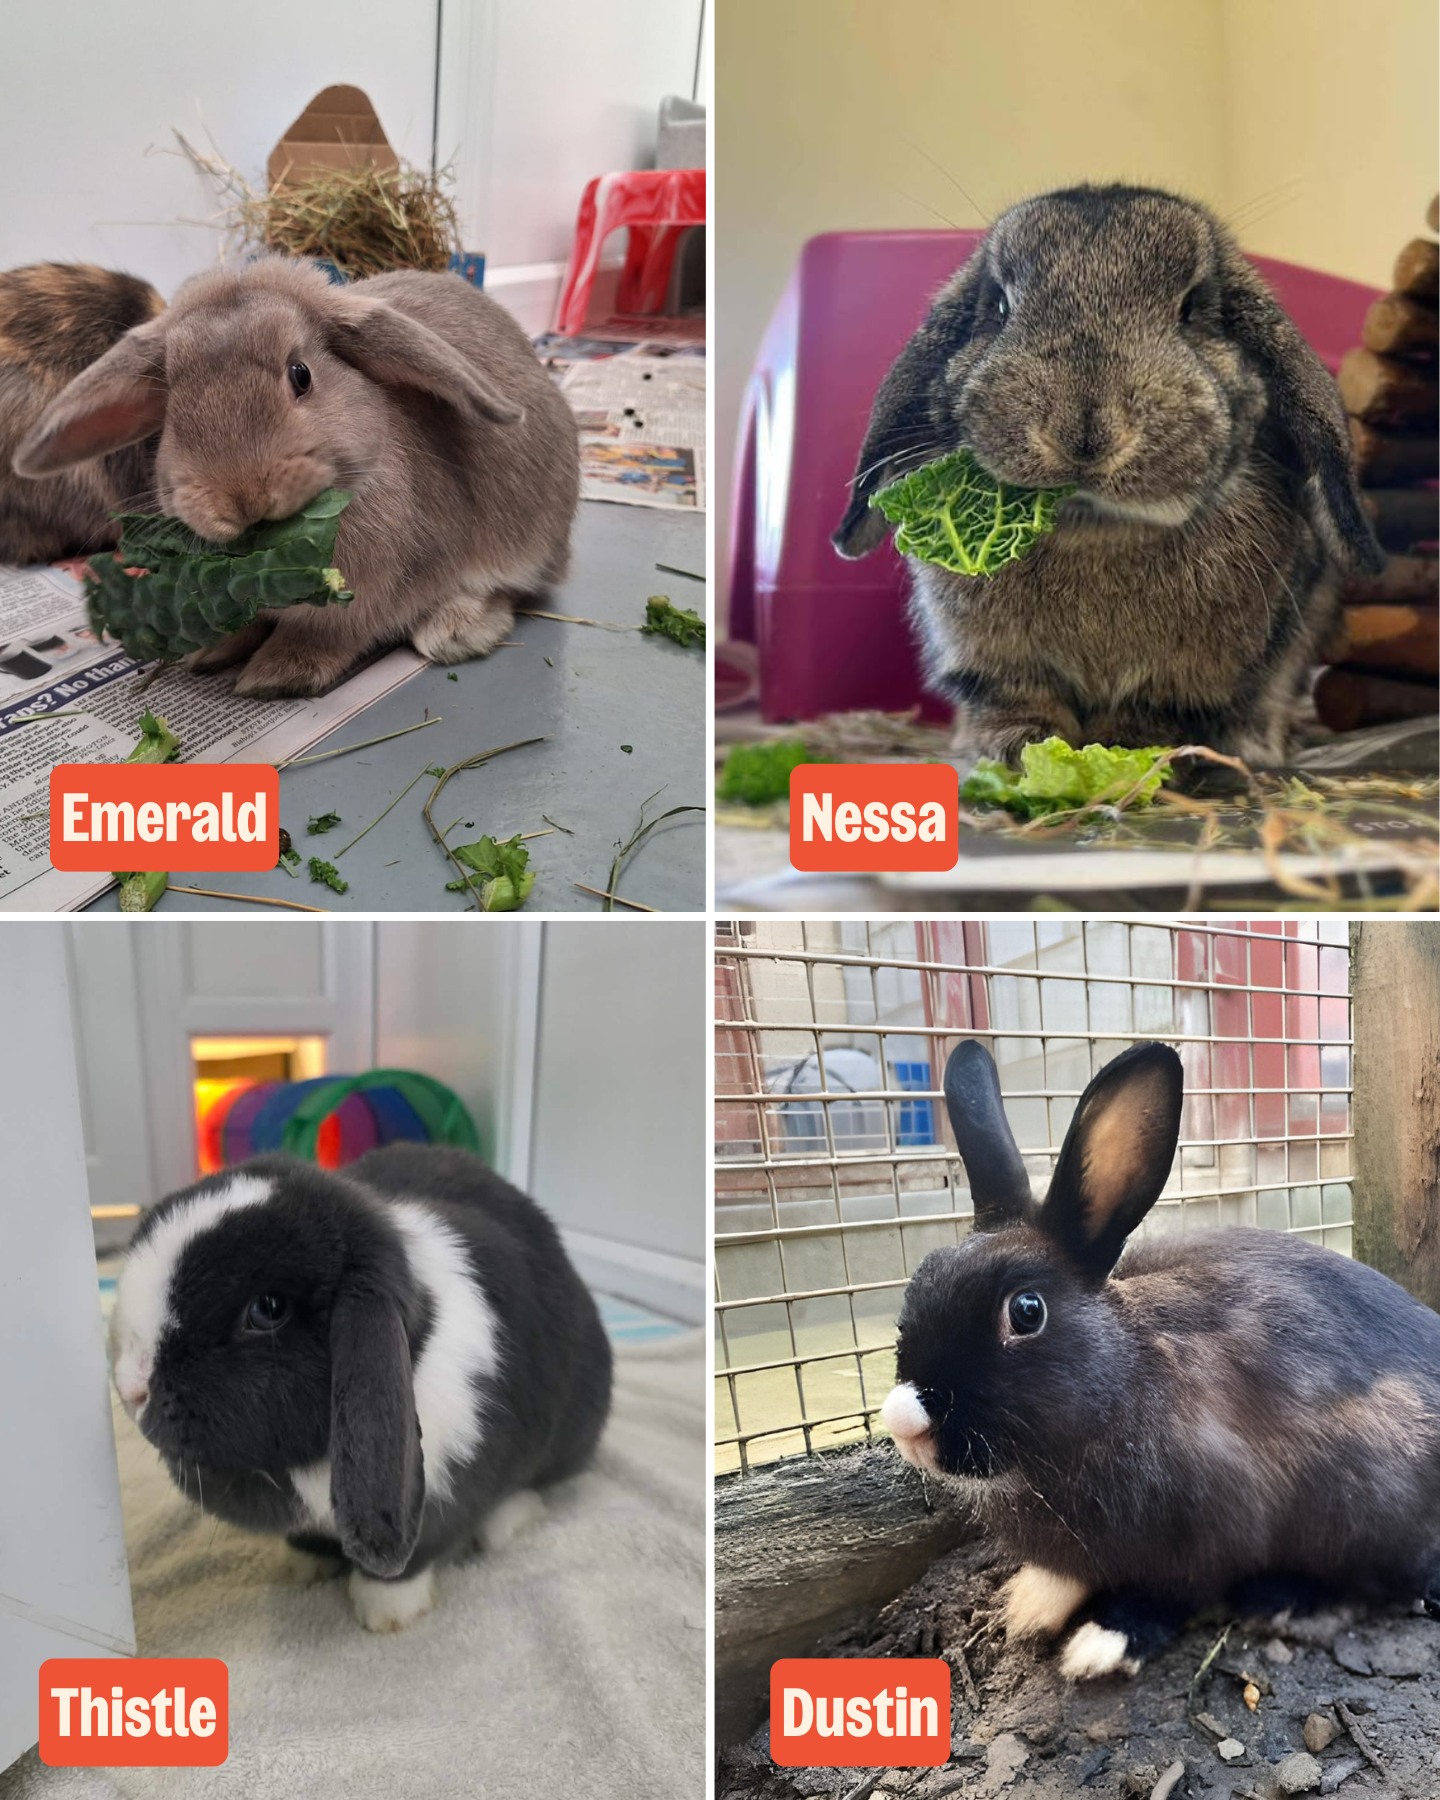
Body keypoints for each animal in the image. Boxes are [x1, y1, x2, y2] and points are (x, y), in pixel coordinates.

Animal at [108, 1144, 613, 1633]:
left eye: (268, 1309)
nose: (132, 1388)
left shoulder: (439, 1498)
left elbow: (411, 1560)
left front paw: (387, 1613)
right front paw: (300, 1568)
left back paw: (506, 1524)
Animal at [834, 183, 1385, 767]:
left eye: (1192, 308)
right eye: (999, 306)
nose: (1084, 436)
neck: (1094, 532)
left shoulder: (1186, 677)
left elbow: (1151, 710)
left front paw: (1126, 746)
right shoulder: (994, 660)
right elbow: (1018, 700)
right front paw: (1018, 747)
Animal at [880, 1038, 1440, 1681]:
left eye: (1026, 1311)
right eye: (921, 1280)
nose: (903, 1419)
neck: (1121, 1380)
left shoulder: (1214, 1530)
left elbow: (1172, 1594)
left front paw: (1102, 1642)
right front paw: (1030, 1603)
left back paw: (1285, 1602)